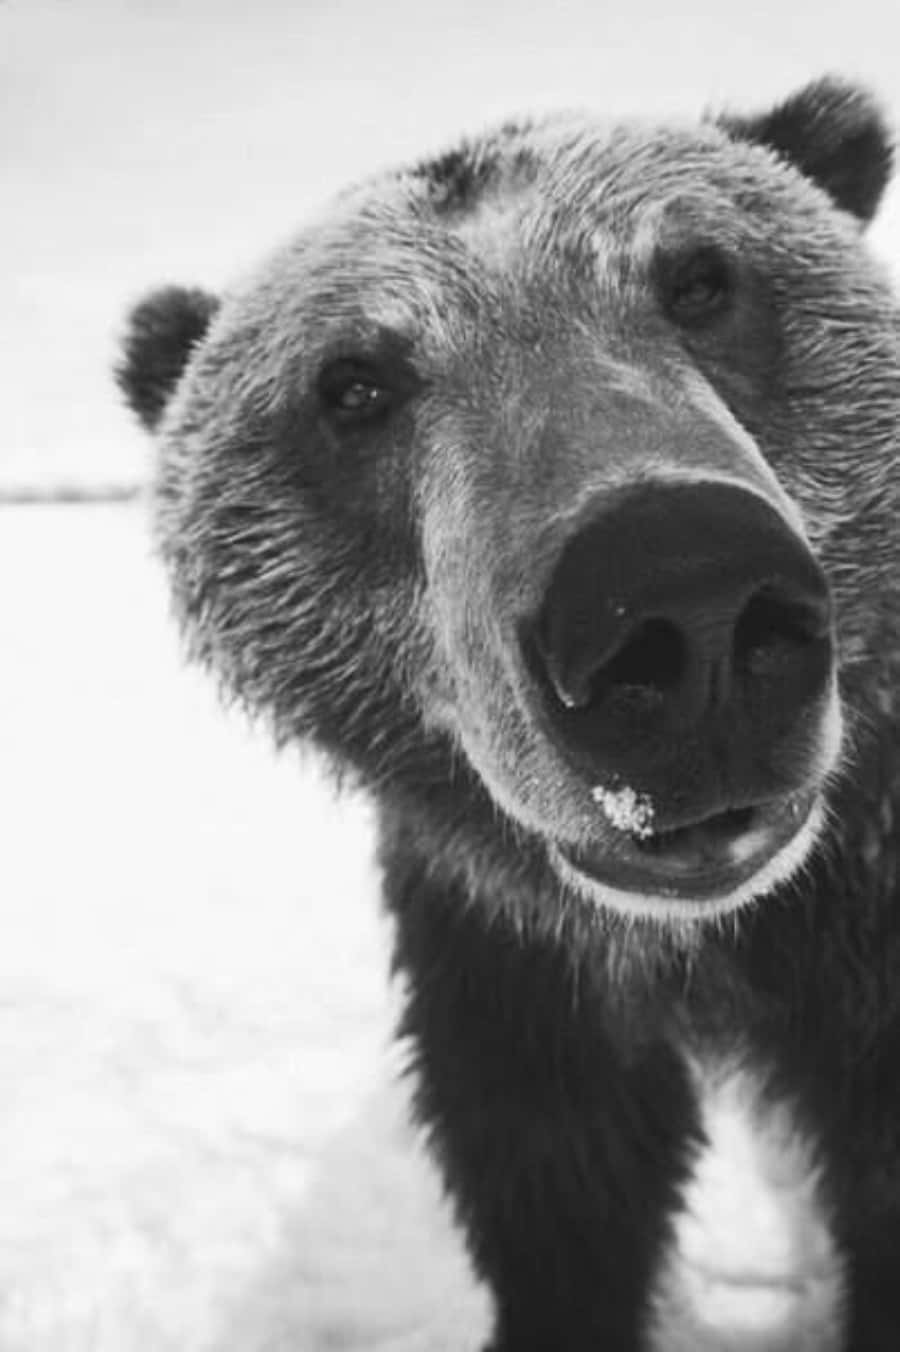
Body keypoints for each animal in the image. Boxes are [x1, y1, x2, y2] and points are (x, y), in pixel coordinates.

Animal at [118, 76, 900, 1351]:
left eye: (701, 278)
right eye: (353, 382)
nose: (679, 595)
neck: (720, 943)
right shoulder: (509, 953)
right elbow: (558, 1185)